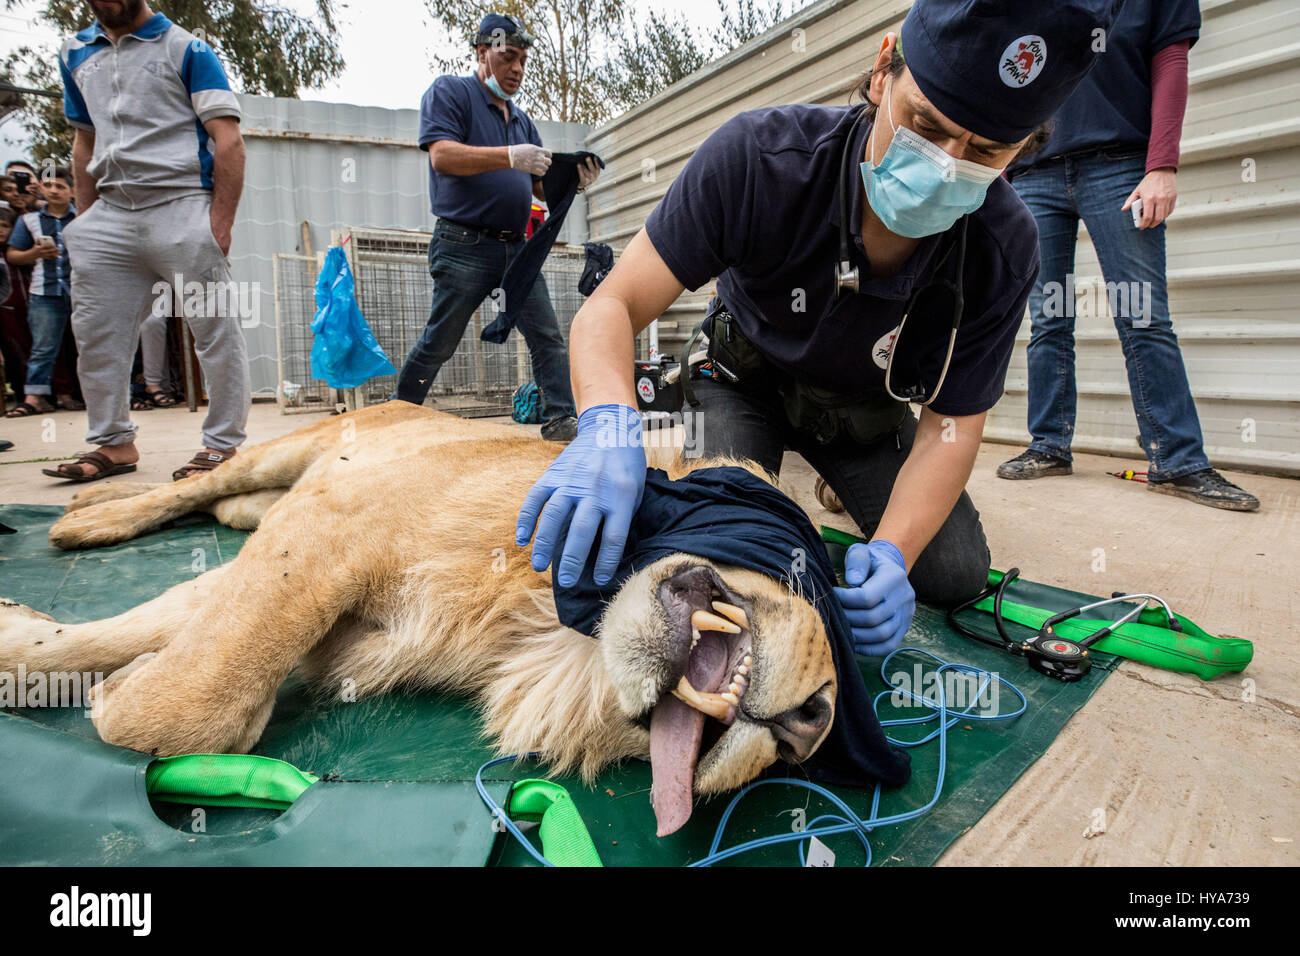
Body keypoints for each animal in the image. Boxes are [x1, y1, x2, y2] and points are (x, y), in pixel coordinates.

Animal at [0, 403, 837, 837]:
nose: (812, 724)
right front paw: (117, 695)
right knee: (192, 488)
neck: (547, 627)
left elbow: (167, 634)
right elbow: (199, 700)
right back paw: (83, 515)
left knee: (225, 510)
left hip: (276, 497)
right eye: (806, 574)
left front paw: (28, 648)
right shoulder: (337, 522)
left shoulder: (311, 546)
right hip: (290, 451)